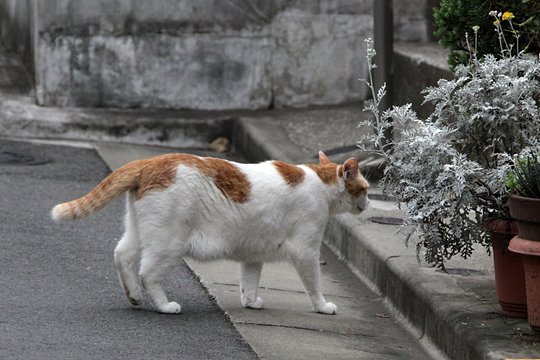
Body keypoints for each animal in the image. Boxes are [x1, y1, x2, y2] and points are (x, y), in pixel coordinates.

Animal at [51, 152, 368, 316]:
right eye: (365, 189)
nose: (367, 204)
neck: (320, 182)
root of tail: (152, 160)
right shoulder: (306, 252)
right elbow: (314, 284)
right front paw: (323, 306)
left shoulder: (253, 254)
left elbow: (249, 282)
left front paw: (251, 303)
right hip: (169, 244)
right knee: (147, 273)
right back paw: (164, 305)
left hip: (139, 231)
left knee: (123, 256)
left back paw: (134, 297)